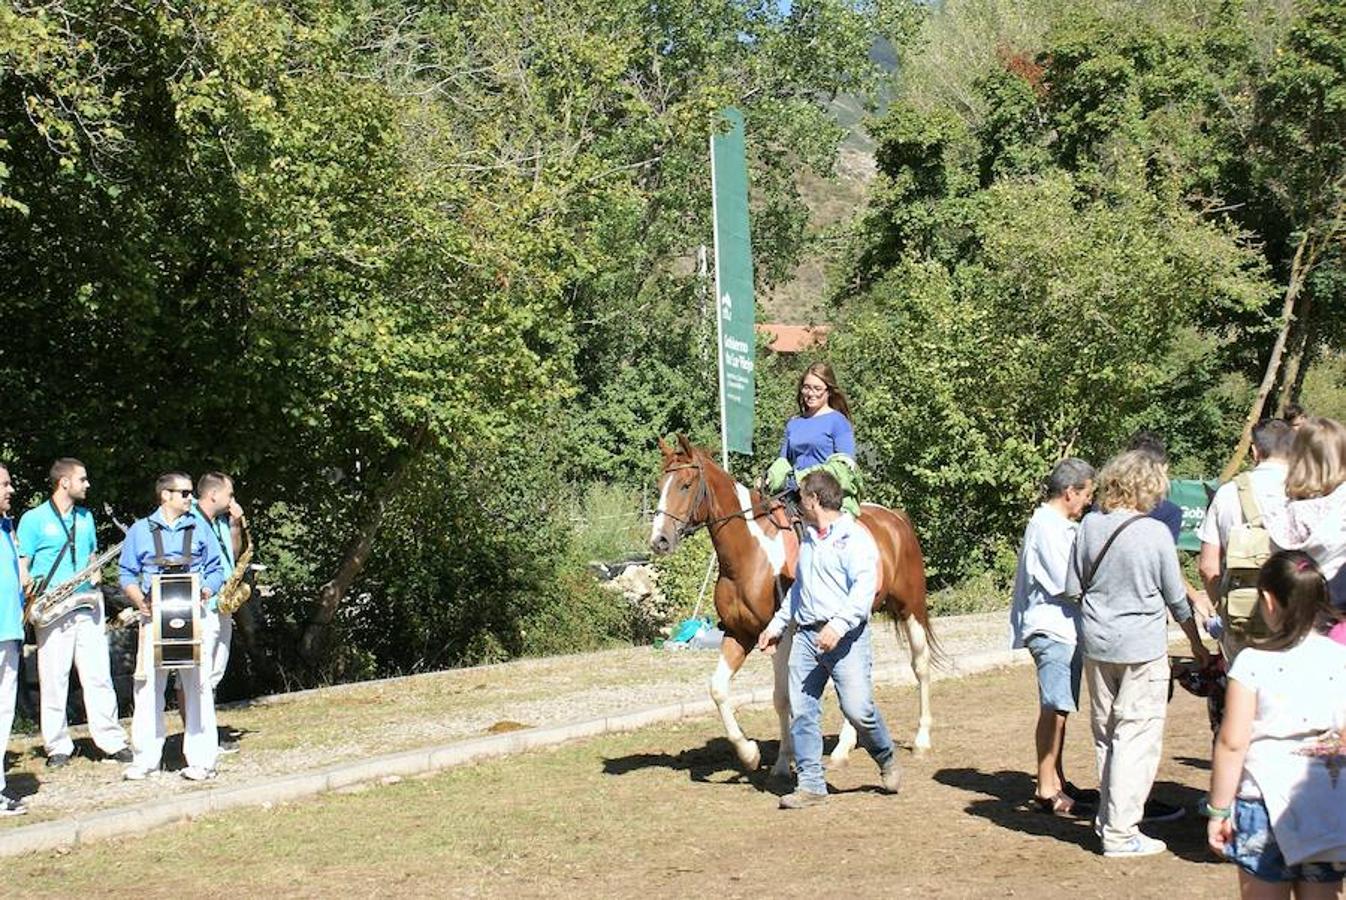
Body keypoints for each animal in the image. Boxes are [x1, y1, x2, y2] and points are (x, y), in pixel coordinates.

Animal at [651, 430, 936, 774]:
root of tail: (896, 518)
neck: (749, 554)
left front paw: (783, 761)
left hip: (911, 609)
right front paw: (749, 753)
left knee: (920, 666)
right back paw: (844, 746)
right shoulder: (739, 633)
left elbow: (781, 697)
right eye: (659, 486)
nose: (659, 540)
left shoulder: (780, 635)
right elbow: (718, 689)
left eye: (686, 484)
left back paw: (921, 740)